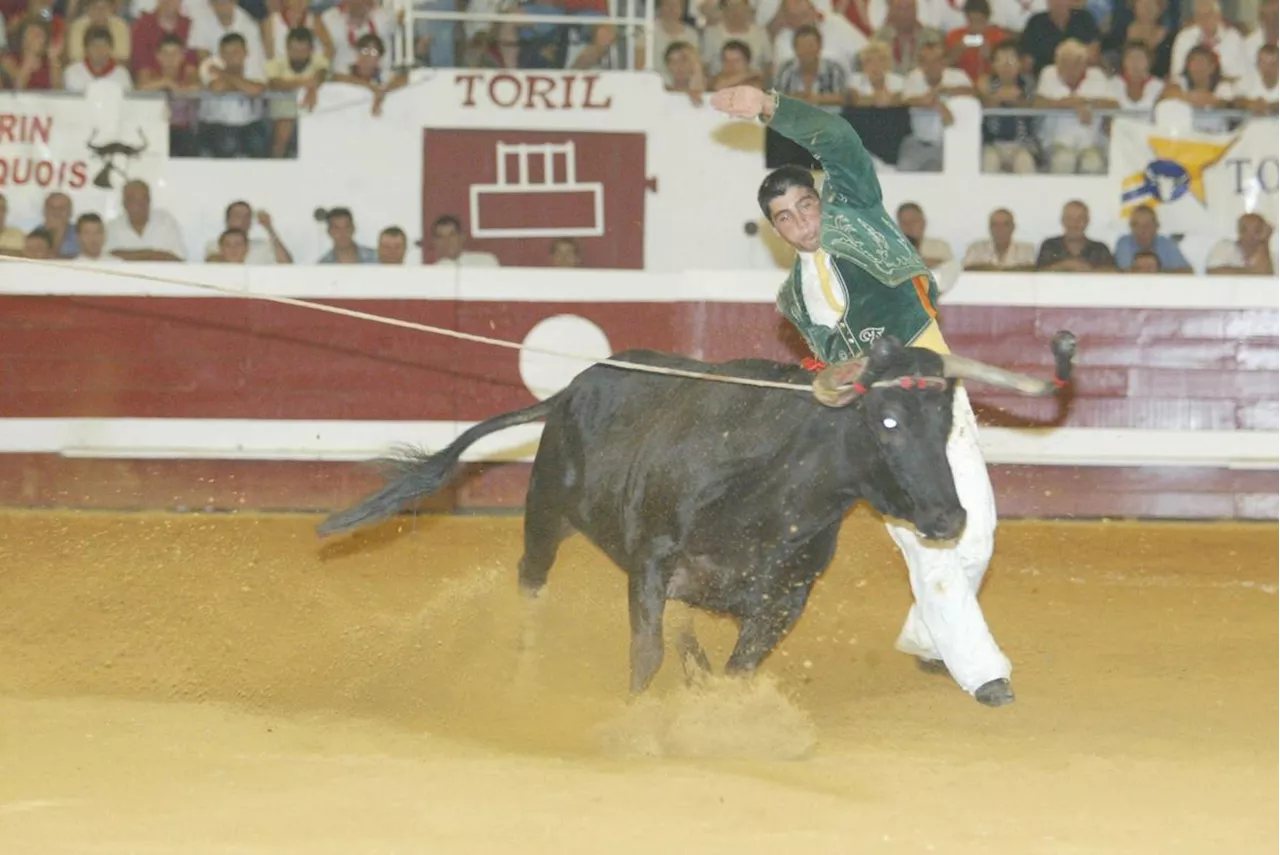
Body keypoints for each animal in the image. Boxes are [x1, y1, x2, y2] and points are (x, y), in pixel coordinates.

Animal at [320, 332, 1080, 696]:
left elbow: (736, 667)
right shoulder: (654, 563)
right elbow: (647, 652)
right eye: (887, 419)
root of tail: (572, 388)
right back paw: (524, 665)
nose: (948, 518)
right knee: (530, 583)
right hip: (544, 515)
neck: (771, 493)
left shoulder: (782, 598)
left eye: (946, 420)